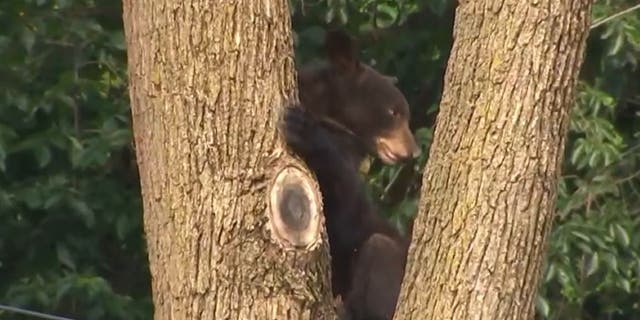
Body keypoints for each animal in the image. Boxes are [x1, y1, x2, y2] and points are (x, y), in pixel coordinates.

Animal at [280, 28, 420, 318]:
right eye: (393, 112)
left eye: (406, 115)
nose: (414, 152)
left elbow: (347, 207)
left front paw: (302, 128)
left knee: (380, 250)